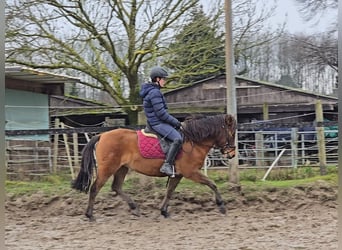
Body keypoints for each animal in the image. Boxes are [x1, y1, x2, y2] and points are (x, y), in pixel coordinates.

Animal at [71, 113, 238, 221]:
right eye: (231, 133)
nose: (232, 154)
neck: (194, 141)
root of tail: (102, 135)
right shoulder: (191, 172)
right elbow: (212, 184)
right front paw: (221, 206)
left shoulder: (178, 174)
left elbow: (169, 192)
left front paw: (164, 211)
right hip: (107, 169)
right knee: (95, 188)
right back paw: (90, 215)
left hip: (121, 168)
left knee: (116, 187)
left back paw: (134, 208)